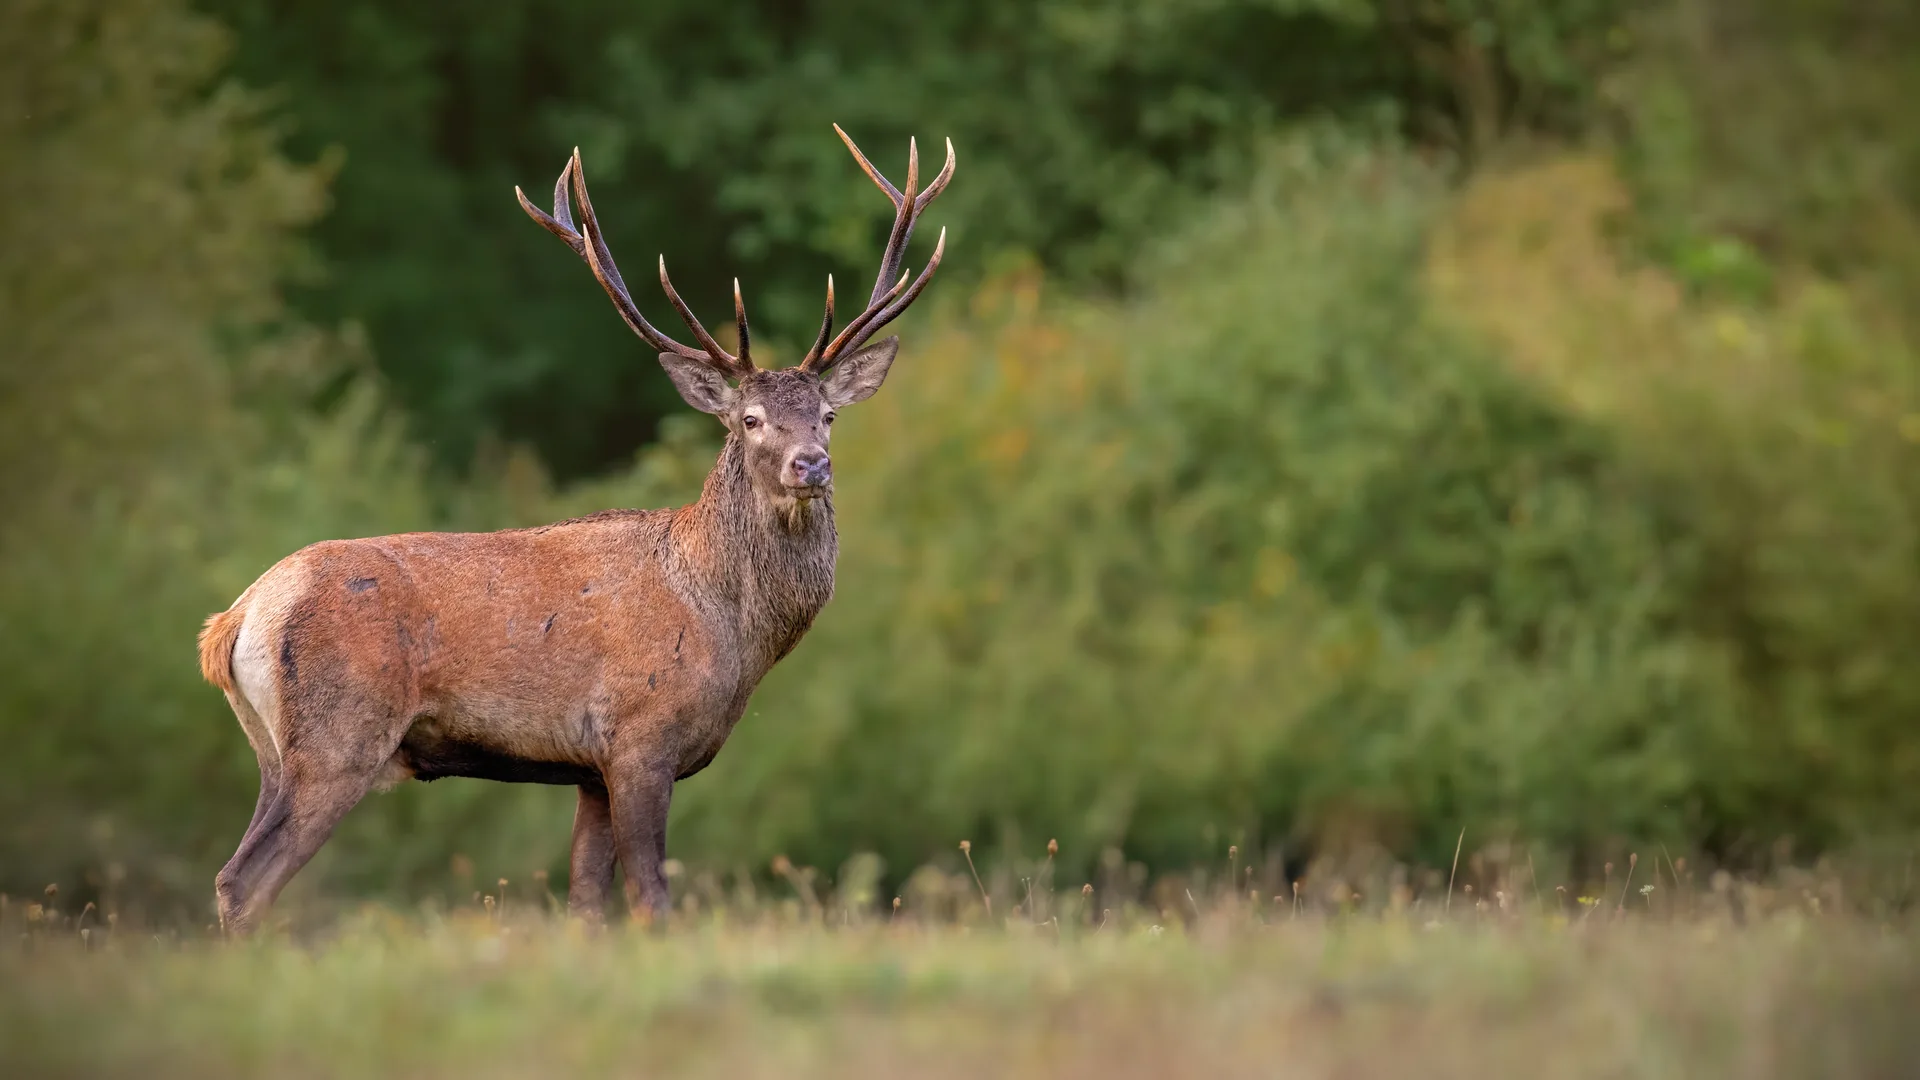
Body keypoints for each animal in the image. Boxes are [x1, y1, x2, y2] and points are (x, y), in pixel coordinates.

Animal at [195, 125, 953, 933]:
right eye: (749, 420)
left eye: (829, 415)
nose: (812, 463)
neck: (728, 627)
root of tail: (238, 617)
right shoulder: (640, 737)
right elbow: (652, 897)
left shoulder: (588, 770)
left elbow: (587, 905)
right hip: (338, 736)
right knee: (246, 877)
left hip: (273, 751)